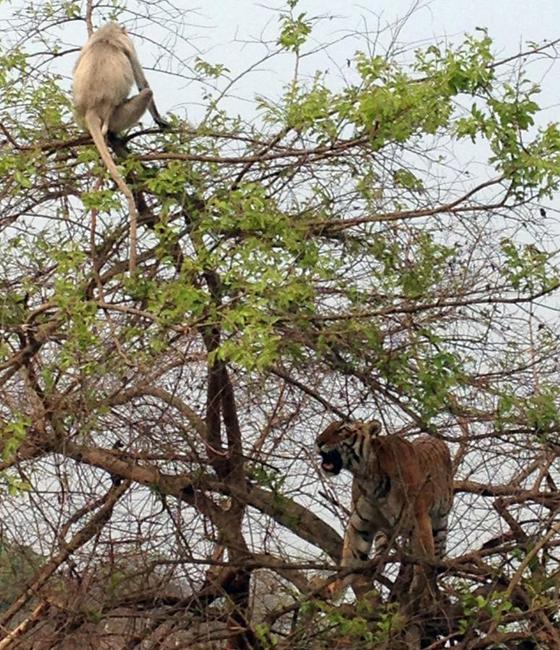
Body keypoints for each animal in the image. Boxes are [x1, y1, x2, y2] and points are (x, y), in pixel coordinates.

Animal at [72, 21, 168, 270]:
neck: (105, 36)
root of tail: (91, 111)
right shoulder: (127, 44)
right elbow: (143, 83)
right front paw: (160, 121)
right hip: (118, 115)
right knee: (146, 92)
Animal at [316, 420, 456, 604]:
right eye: (328, 427)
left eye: (343, 430)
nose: (318, 442)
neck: (369, 478)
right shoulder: (360, 524)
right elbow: (350, 557)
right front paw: (333, 589)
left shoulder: (419, 520)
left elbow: (424, 560)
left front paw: (419, 590)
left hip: (439, 526)